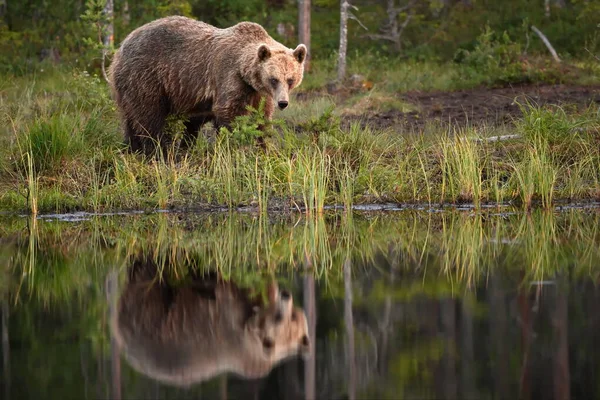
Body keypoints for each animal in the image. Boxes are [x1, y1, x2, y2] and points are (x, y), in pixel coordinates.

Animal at [108, 15, 308, 154]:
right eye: (274, 79)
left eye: (290, 79)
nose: (283, 103)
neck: (247, 76)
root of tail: (120, 47)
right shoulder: (228, 77)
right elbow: (228, 114)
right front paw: (234, 148)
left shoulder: (259, 94)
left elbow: (261, 119)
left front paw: (264, 149)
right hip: (146, 76)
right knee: (149, 116)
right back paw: (159, 150)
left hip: (129, 86)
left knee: (131, 118)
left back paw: (132, 148)